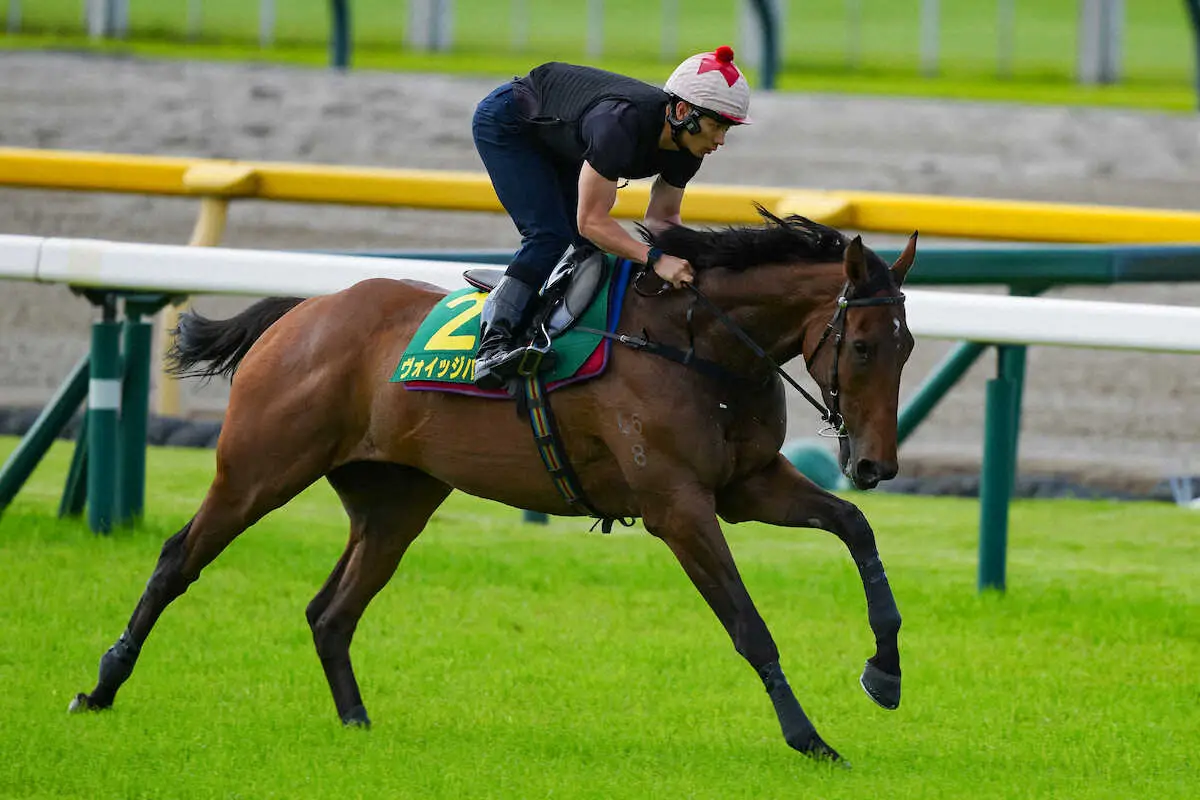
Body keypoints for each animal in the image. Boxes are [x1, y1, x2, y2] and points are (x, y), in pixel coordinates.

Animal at [69, 210, 917, 762]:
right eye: (862, 344)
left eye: (907, 346)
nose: (875, 464)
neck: (695, 343)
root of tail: (304, 310)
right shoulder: (677, 505)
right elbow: (748, 624)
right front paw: (809, 738)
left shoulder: (746, 486)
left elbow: (855, 528)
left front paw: (884, 673)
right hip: (258, 469)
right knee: (178, 560)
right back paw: (100, 687)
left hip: (396, 500)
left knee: (331, 612)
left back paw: (357, 725)